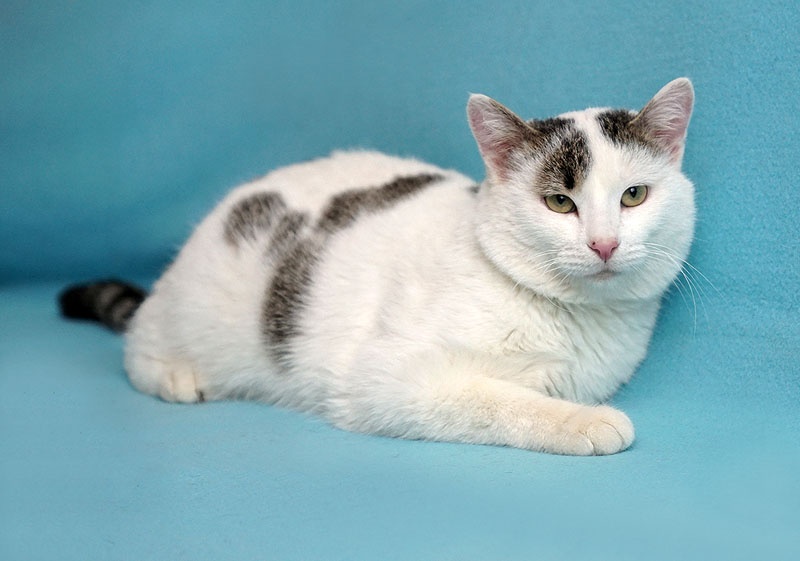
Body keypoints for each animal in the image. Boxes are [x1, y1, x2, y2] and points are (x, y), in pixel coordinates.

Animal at [60, 78, 695, 455]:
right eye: (559, 203)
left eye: (634, 196)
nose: (604, 244)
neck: (573, 319)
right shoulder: (389, 380)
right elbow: (500, 401)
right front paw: (584, 422)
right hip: (191, 311)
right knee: (139, 344)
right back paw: (175, 375)